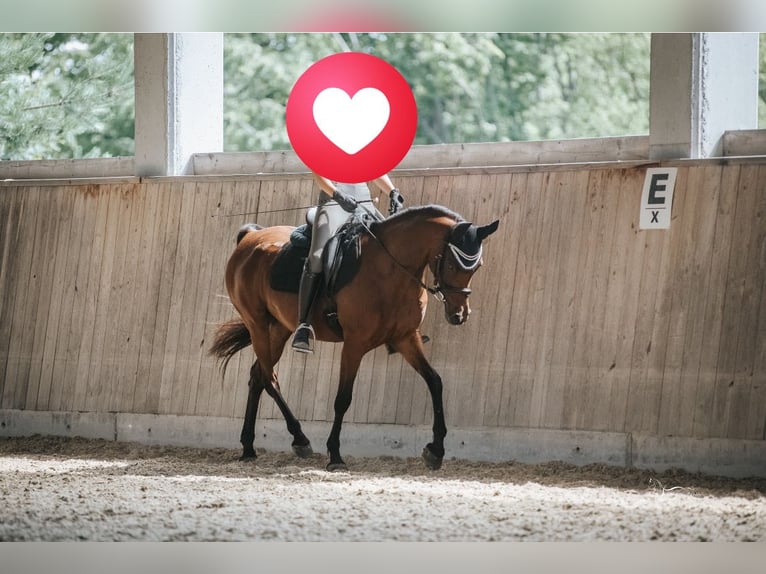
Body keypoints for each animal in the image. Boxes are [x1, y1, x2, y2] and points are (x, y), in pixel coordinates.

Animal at [209, 204, 499, 471]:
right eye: (451, 263)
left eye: (477, 266)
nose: (459, 314)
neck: (389, 270)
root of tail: (250, 237)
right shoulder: (354, 344)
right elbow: (343, 399)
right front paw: (335, 456)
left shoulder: (406, 338)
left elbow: (435, 382)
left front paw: (435, 450)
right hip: (256, 323)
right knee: (269, 378)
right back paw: (300, 439)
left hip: (281, 327)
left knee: (258, 375)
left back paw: (249, 447)